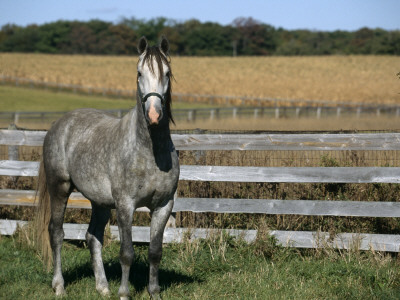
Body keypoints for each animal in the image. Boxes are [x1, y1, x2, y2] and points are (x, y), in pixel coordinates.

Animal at [36, 36, 180, 298]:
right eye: (139, 73)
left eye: (167, 72)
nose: (154, 114)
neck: (148, 152)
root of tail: (59, 124)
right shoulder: (125, 205)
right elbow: (127, 253)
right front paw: (124, 293)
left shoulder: (164, 205)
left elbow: (155, 252)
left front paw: (154, 292)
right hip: (59, 188)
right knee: (57, 233)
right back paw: (59, 286)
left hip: (100, 202)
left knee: (93, 237)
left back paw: (102, 287)